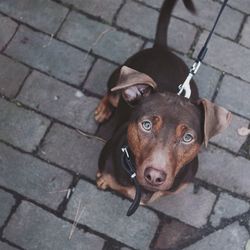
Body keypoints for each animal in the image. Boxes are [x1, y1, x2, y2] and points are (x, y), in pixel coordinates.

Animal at [94, 0, 231, 205]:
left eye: (188, 137)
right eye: (146, 125)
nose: (154, 176)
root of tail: (161, 48)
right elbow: (106, 177)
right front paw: (103, 181)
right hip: (117, 78)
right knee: (111, 93)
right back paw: (103, 109)